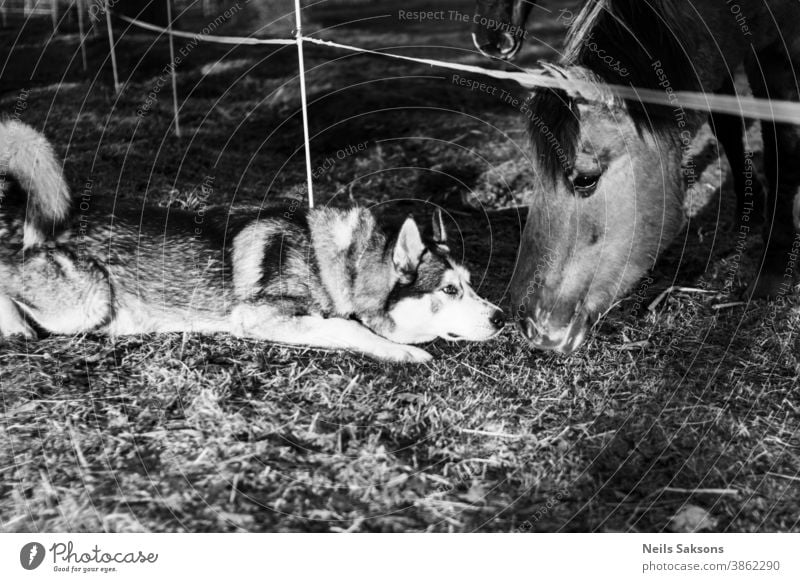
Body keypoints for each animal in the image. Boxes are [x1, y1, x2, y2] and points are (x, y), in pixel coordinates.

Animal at [0, 121, 504, 362]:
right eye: (449, 290)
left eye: (471, 283)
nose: (502, 318)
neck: (341, 267)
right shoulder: (260, 316)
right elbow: (351, 329)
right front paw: (406, 353)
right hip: (87, 302)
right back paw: (16, 327)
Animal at [500, 1, 800, 356]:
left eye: (585, 179)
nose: (529, 325)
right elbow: (727, 126)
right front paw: (747, 215)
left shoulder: (779, 51)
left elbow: (782, 147)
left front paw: (772, 272)